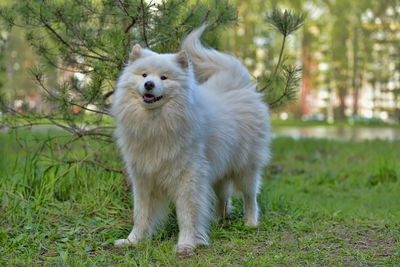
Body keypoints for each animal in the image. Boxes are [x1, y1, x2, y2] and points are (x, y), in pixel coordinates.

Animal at [111, 24, 270, 253]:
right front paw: (133, 240)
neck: (157, 124)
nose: (149, 84)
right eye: (143, 75)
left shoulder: (188, 178)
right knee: (223, 196)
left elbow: (186, 214)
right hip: (218, 170)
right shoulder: (144, 178)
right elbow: (141, 214)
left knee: (250, 197)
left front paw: (186, 244)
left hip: (245, 168)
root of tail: (237, 85)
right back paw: (218, 220)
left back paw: (250, 222)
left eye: (164, 78)